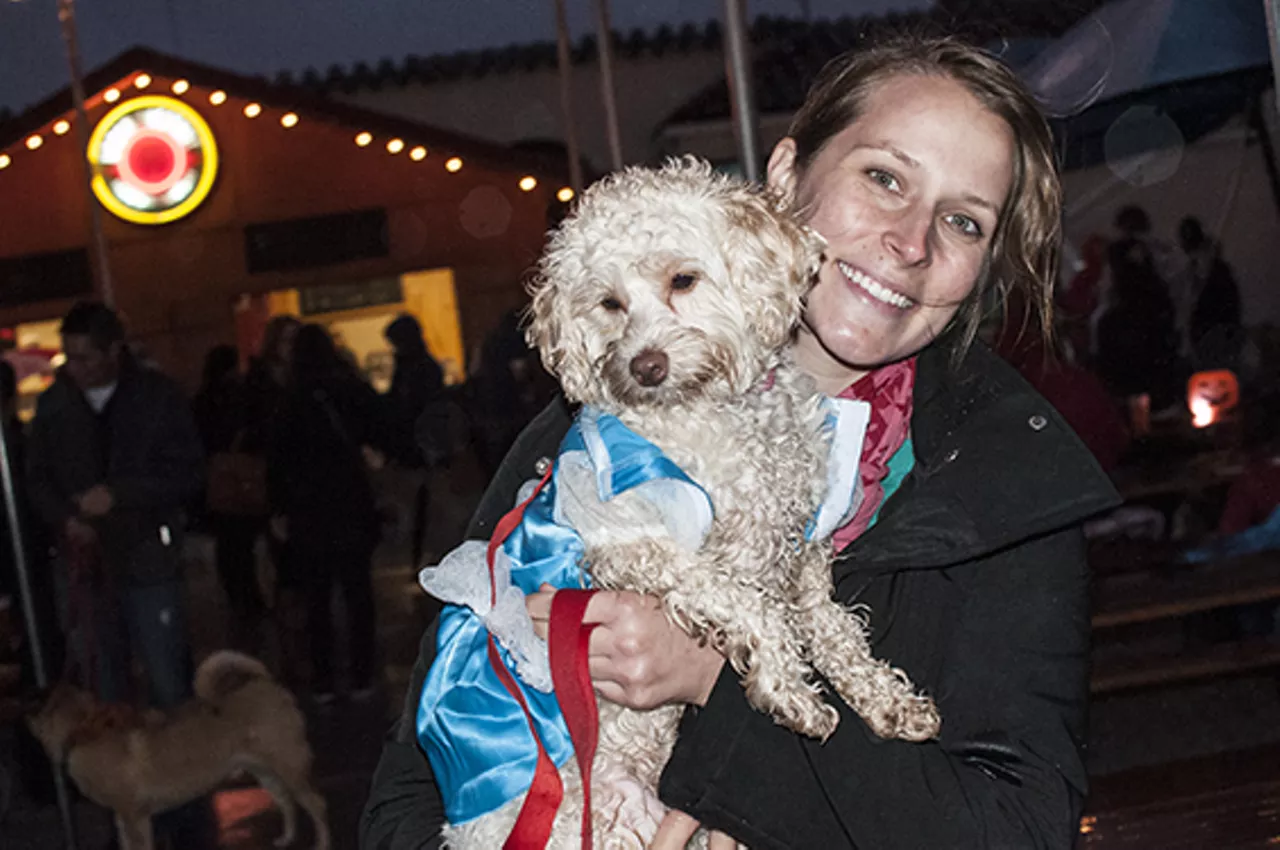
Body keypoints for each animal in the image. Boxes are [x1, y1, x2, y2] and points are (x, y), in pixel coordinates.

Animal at [28, 652, 330, 844]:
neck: (81, 727)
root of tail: (266, 684)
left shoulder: (134, 817)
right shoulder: (123, 818)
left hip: (289, 769)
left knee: (317, 805)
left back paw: (322, 843)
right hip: (266, 772)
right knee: (286, 802)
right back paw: (286, 838)